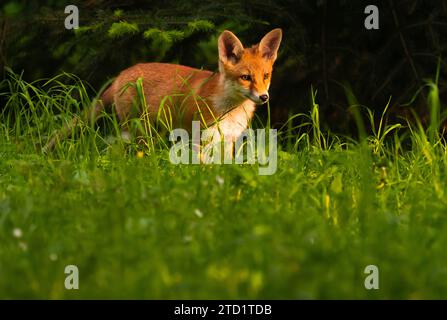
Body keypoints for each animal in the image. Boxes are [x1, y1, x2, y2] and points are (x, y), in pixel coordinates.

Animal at [45, 28, 284, 154]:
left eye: (265, 76)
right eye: (245, 78)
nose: (264, 97)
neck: (230, 110)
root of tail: (121, 74)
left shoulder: (227, 141)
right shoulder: (199, 138)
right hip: (138, 130)